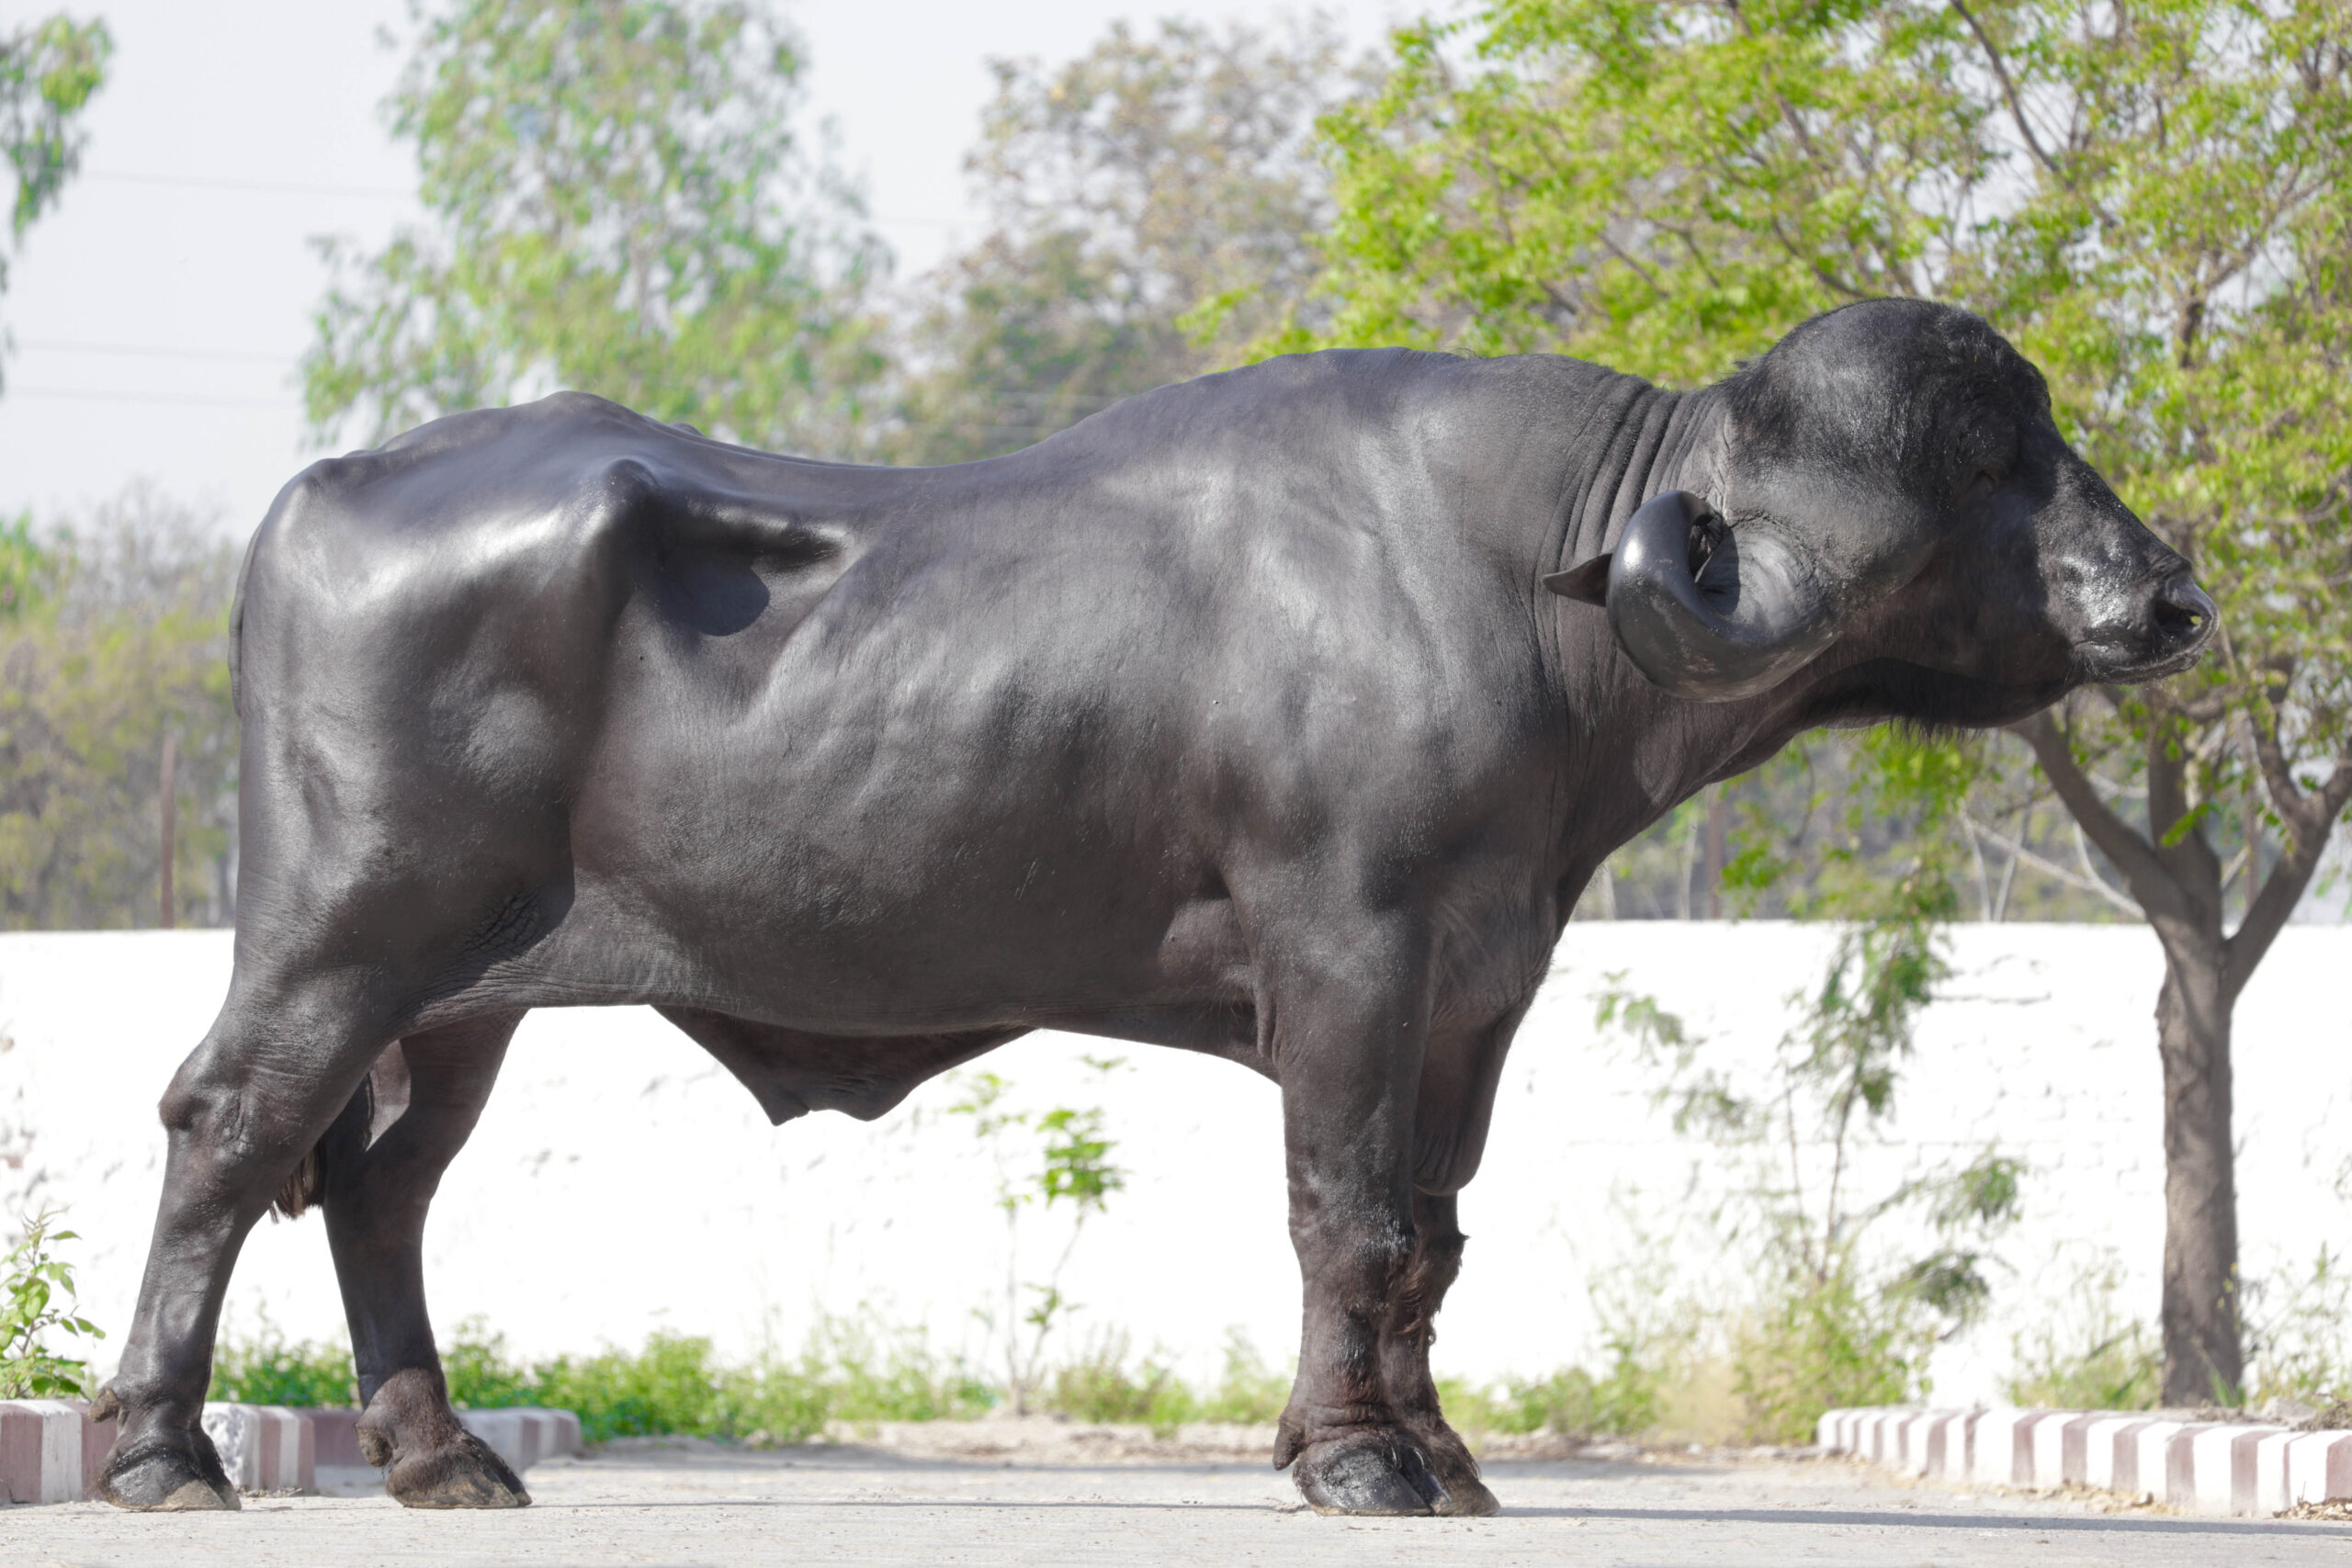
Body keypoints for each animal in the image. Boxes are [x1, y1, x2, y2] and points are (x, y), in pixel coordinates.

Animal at [92, 298, 2213, 1516]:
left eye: (2042, 435)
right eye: (1981, 461)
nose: (2167, 598)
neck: (1529, 592)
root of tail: (331, 489)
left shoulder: (1477, 988)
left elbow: (1433, 1232)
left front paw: (1432, 1449)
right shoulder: (1348, 951)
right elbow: (1349, 1216)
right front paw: (1355, 1460)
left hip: (464, 1000)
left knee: (376, 1183)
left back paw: (438, 1457)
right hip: (347, 930)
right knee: (227, 1128)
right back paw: (158, 1451)